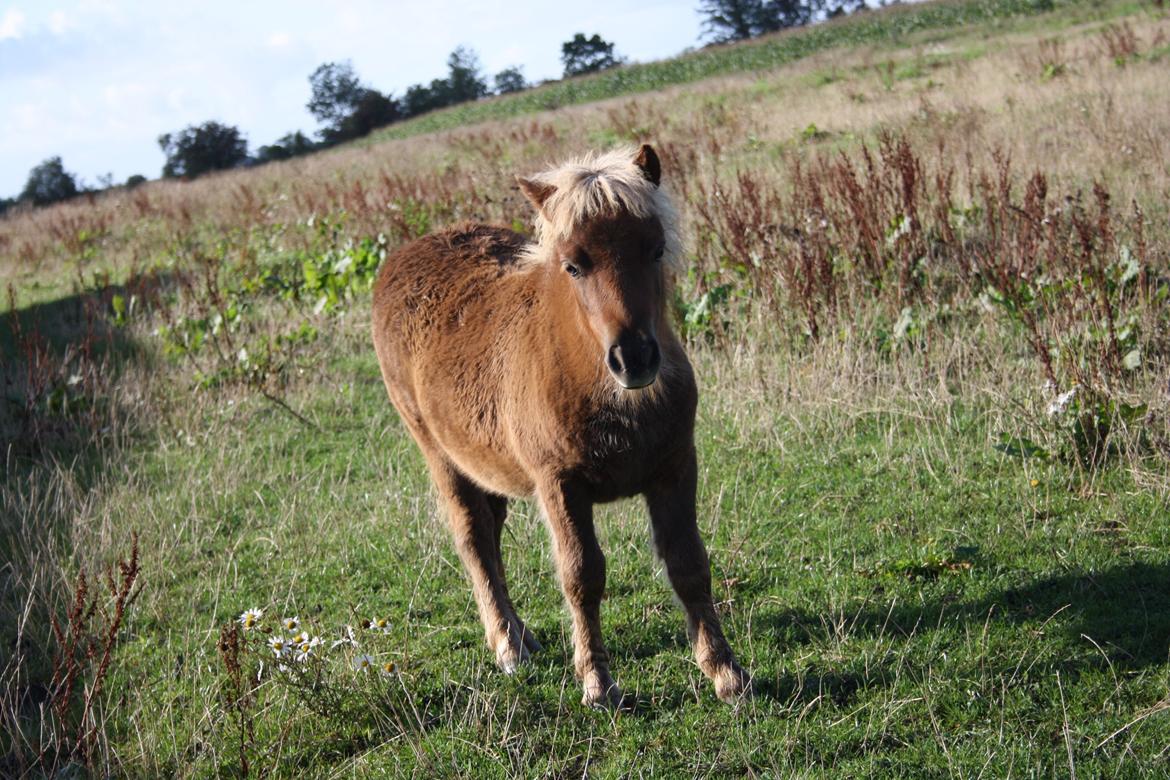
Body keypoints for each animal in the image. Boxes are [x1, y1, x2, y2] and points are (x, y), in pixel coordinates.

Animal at [369, 145, 748, 706]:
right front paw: (597, 682)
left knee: (491, 535)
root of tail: (402, 256)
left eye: (656, 250)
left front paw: (725, 672)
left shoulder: (675, 468)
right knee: (474, 540)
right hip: (441, 457)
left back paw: (521, 634)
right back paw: (507, 645)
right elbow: (581, 576)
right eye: (573, 265)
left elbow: (689, 564)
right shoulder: (560, 485)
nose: (634, 358)